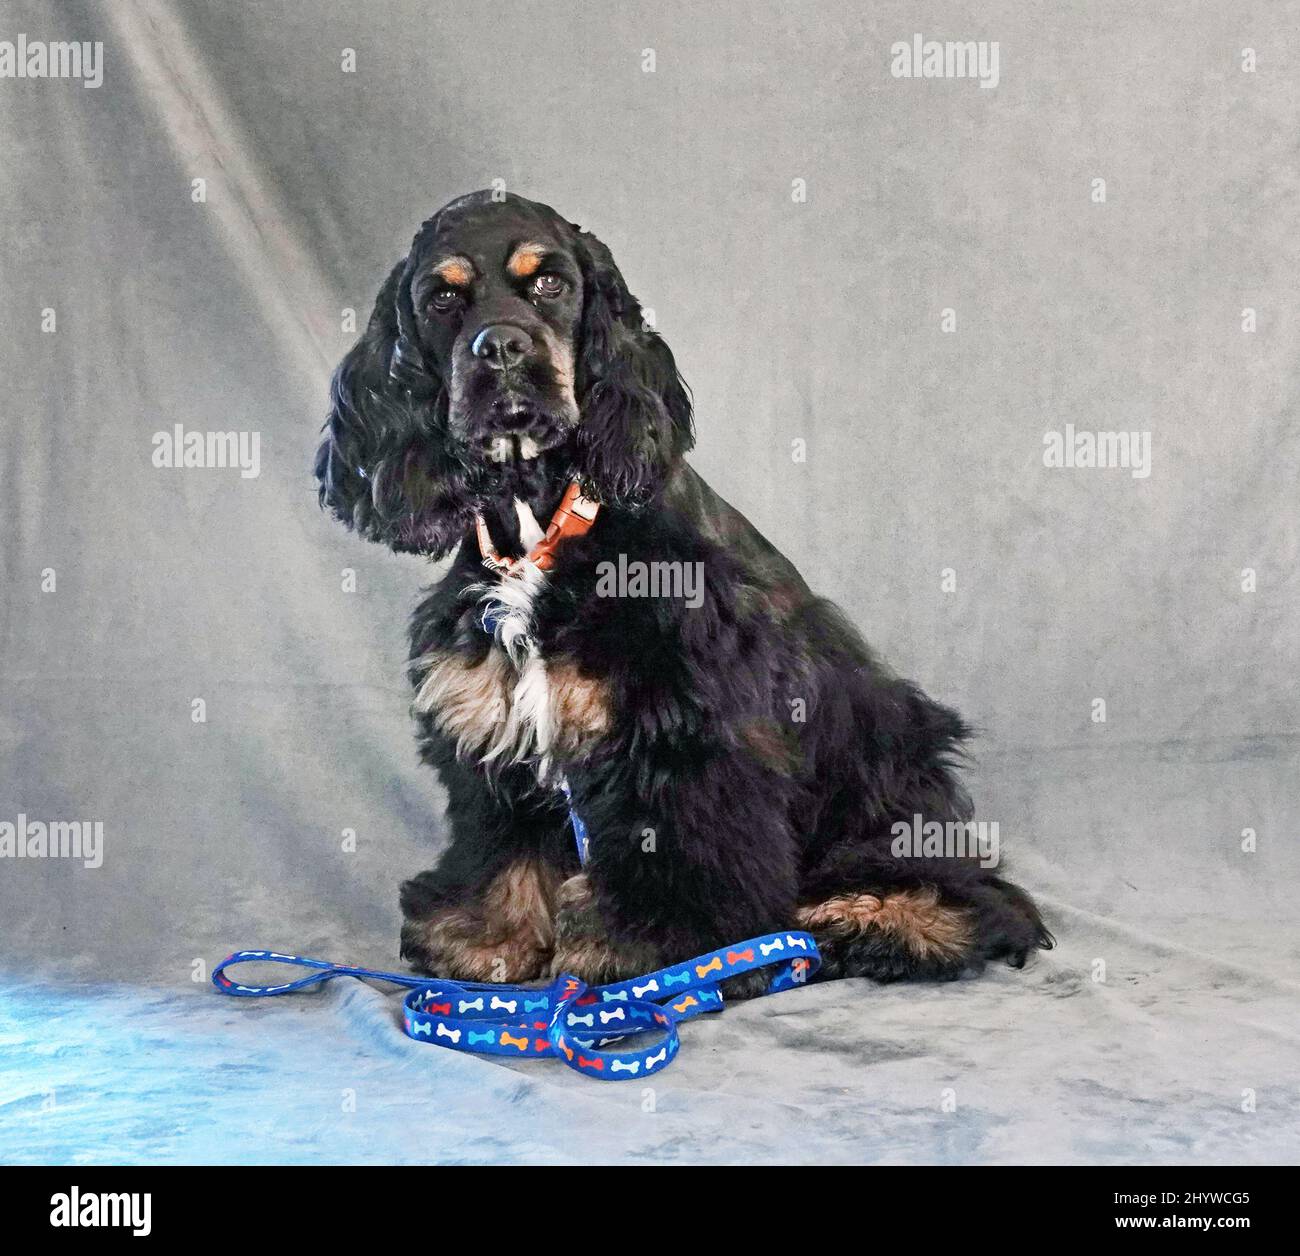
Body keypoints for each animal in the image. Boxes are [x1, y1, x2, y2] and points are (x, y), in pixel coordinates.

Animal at [317, 189, 1055, 993]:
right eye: (443, 298)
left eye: (549, 283)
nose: (502, 349)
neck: (543, 524)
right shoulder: (499, 714)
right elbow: (506, 844)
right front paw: (488, 937)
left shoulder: (684, 721)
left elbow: (678, 849)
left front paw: (657, 948)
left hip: (888, 769)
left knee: (973, 898)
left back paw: (864, 921)